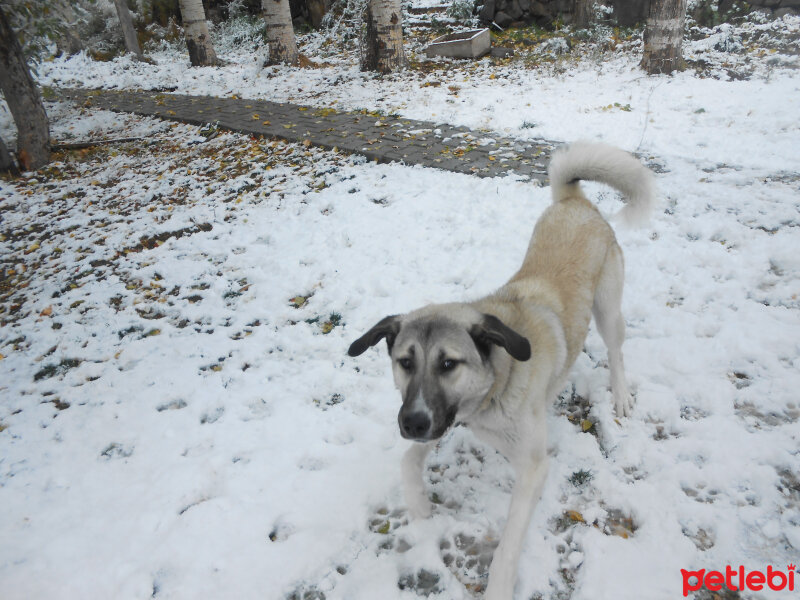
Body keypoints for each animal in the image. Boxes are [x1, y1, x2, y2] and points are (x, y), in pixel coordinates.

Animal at [346, 142, 652, 600]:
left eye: (448, 364)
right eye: (405, 363)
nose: (412, 423)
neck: (496, 385)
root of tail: (575, 202)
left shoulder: (532, 467)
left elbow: (508, 544)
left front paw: (500, 587)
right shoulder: (445, 417)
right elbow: (408, 458)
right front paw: (418, 507)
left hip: (608, 310)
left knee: (616, 350)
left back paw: (620, 394)